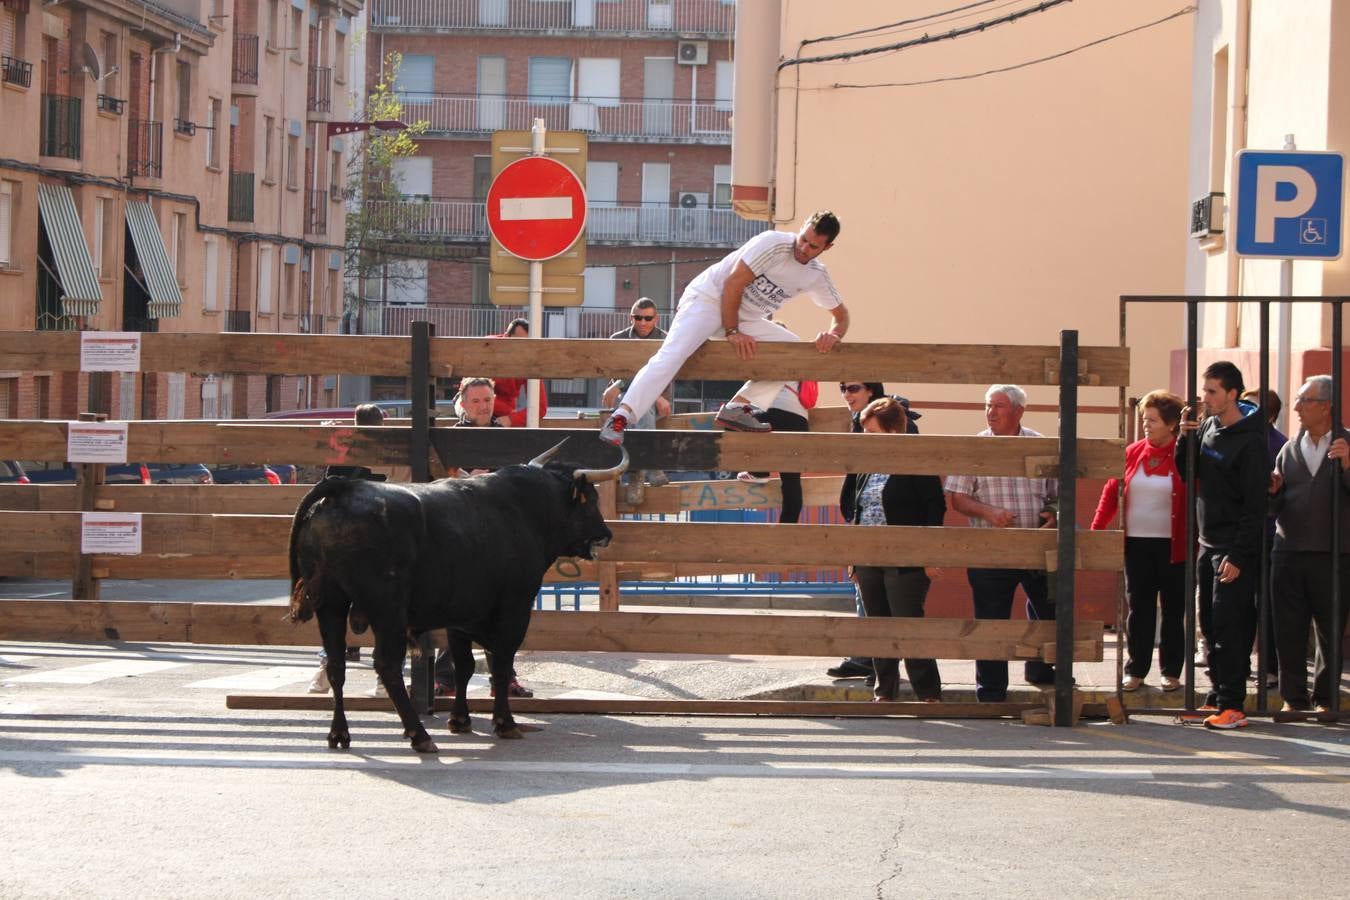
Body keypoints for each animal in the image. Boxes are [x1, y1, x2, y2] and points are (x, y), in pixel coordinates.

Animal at [287, 442, 623, 755]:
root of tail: (344, 489)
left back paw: (339, 734)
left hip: (331, 604)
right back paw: (419, 734)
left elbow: (465, 665)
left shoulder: (461, 615)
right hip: (387, 609)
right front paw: (505, 722)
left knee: (336, 665)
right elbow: (501, 663)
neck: (524, 510)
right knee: (388, 666)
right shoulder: (514, 609)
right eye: (591, 500)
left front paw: (460, 720)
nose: (606, 534)